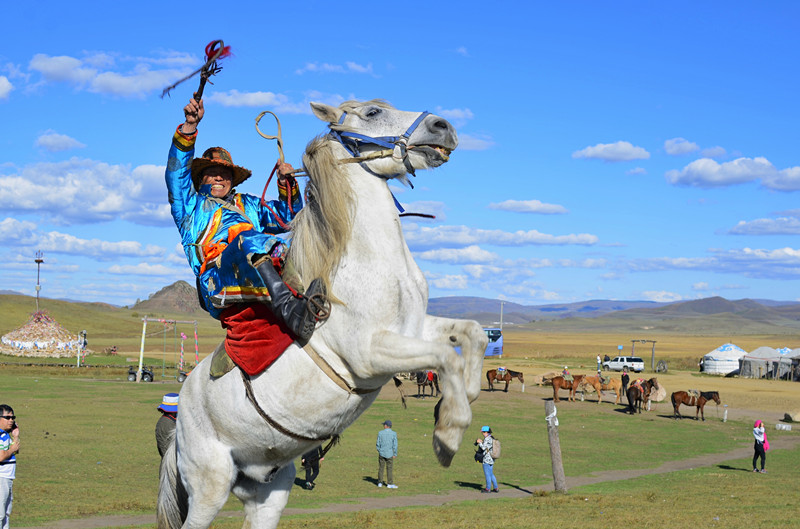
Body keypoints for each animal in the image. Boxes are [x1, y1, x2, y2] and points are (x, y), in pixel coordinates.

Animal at [153, 98, 484, 528]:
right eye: (373, 112)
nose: (443, 127)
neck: (368, 259)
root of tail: (178, 429)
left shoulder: (413, 328)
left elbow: (473, 333)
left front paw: (466, 395)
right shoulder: (369, 353)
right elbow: (446, 356)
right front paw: (448, 433)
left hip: (267, 491)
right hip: (209, 485)